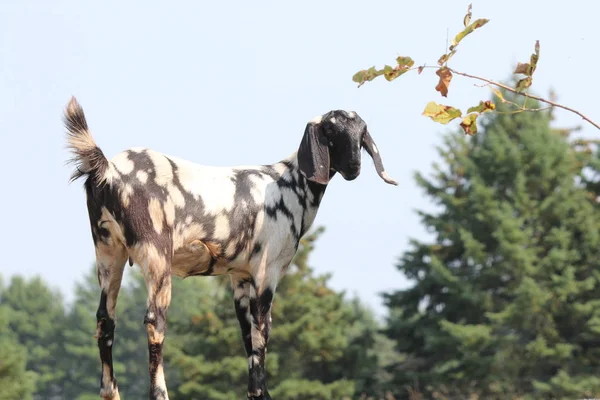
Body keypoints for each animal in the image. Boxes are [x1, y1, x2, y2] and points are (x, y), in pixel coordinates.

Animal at [64, 97, 398, 400]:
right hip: (156, 254)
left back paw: (110, 392)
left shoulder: (239, 276)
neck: (291, 185)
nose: (354, 167)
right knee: (154, 321)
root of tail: (109, 169)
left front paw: (256, 393)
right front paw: (261, 391)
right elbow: (262, 332)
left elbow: (247, 336)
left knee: (105, 320)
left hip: (108, 252)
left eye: (361, 132)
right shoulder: (267, 272)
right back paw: (159, 393)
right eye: (330, 130)